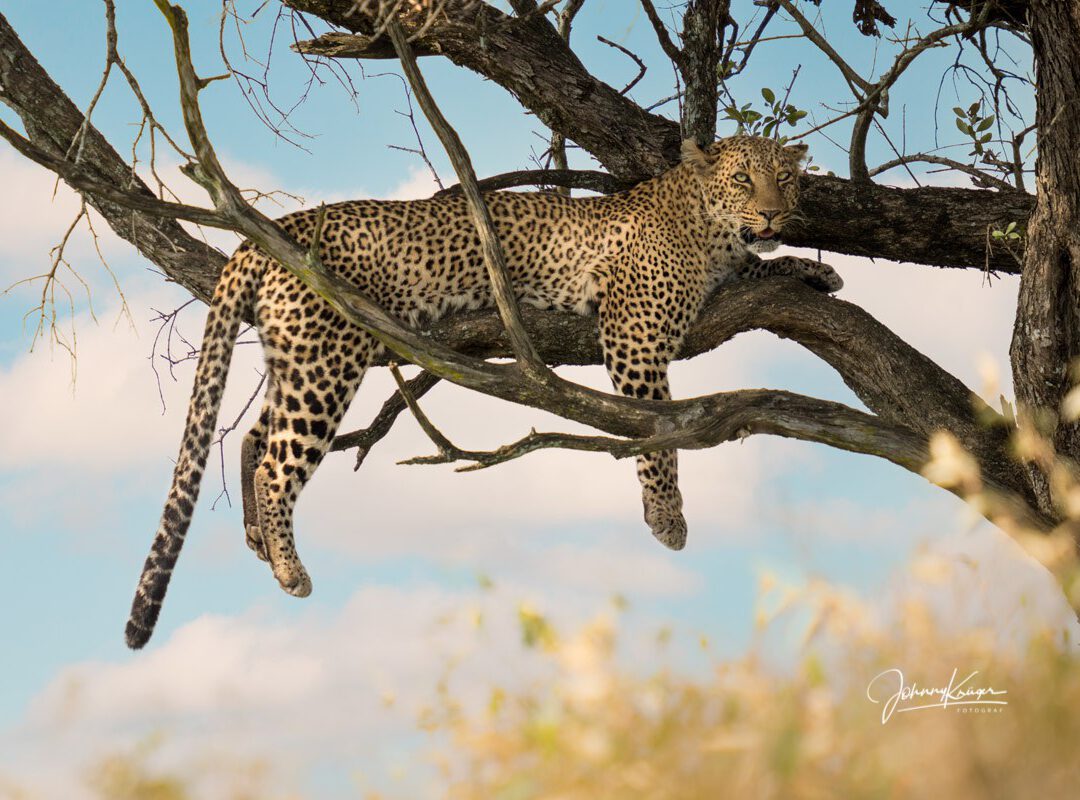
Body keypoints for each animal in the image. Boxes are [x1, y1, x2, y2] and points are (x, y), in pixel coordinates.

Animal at [124, 134, 842, 647]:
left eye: (785, 178)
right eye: (743, 179)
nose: (776, 211)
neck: (706, 227)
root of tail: (273, 232)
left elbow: (763, 265)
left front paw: (814, 270)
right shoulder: (635, 336)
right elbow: (657, 432)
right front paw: (666, 518)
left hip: (294, 353)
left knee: (251, 438)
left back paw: (256, 540)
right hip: (329, 357)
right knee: (278, 463)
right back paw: (289, 568)